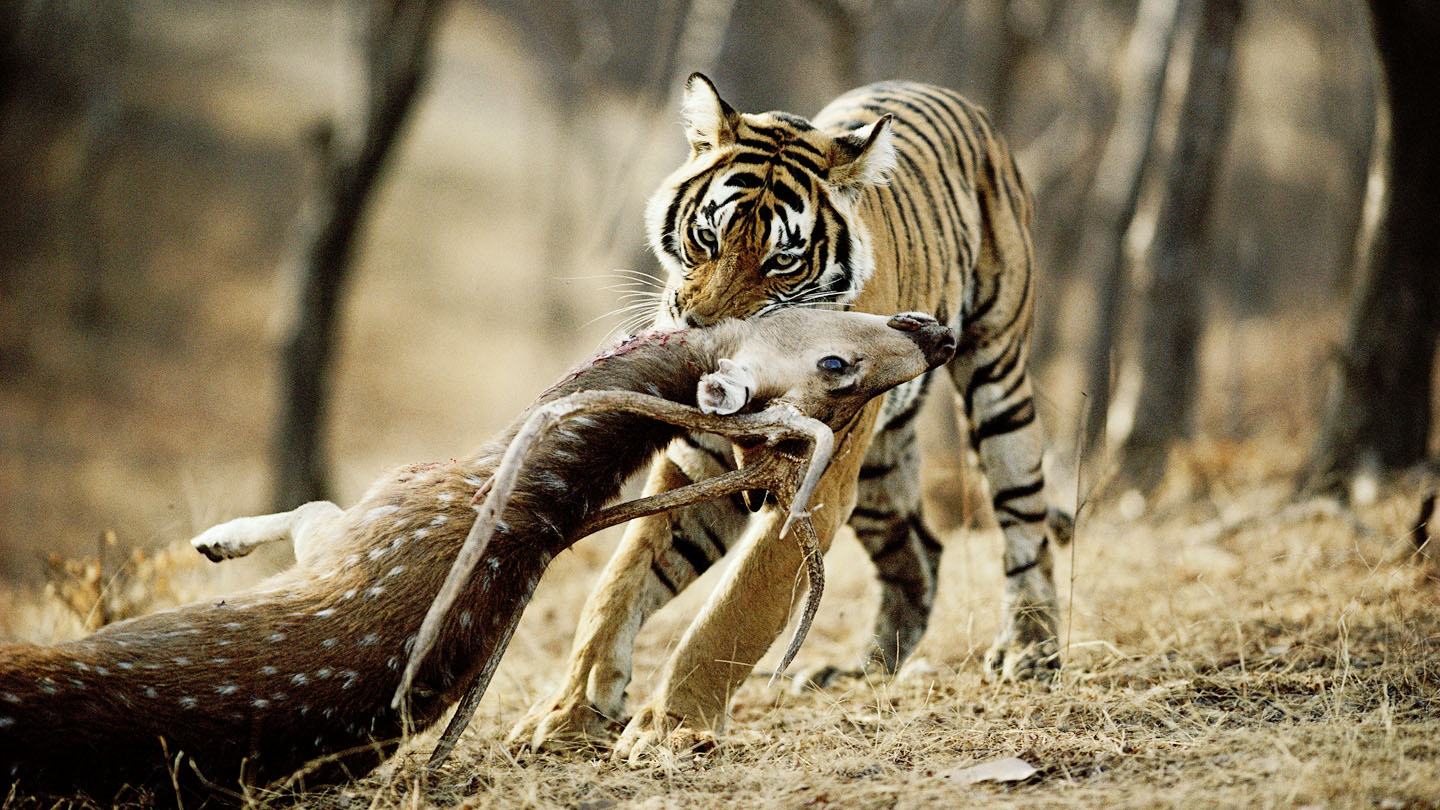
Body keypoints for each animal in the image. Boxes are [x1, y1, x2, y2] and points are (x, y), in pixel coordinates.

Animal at [5, 306, 961, 801]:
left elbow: (312, 507)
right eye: (838, 366)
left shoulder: (376, 510)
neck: (499, 469)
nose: (938, 334)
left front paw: (213, 540)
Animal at [512, 72, 1065, 755]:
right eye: (706, 237)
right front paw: (569, 713)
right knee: (920, 551)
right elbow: (620, 580)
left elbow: (737, 608)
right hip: (879, 472)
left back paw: (1030, 649)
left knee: (1025, 521)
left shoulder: (813, 486)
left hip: (998, 379)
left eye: (781, 261)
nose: (703, 330)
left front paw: (670, 727)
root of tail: (956, 99)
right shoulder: (700, 463)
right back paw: (867, 670)